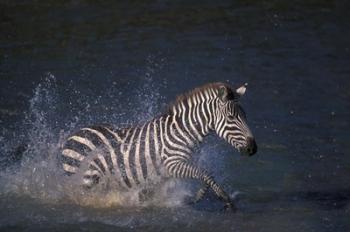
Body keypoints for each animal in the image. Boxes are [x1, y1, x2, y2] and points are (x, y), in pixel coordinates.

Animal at [60, 82, 258, 209]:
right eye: (231, 118)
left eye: (245, 115)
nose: (253, 149)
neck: (182, 132)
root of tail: (72, 135)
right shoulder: (172, 164)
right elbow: (205, 173)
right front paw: (226, 200)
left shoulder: (167, 172)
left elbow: (206, 175)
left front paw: (197, 197)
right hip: (87, 180)